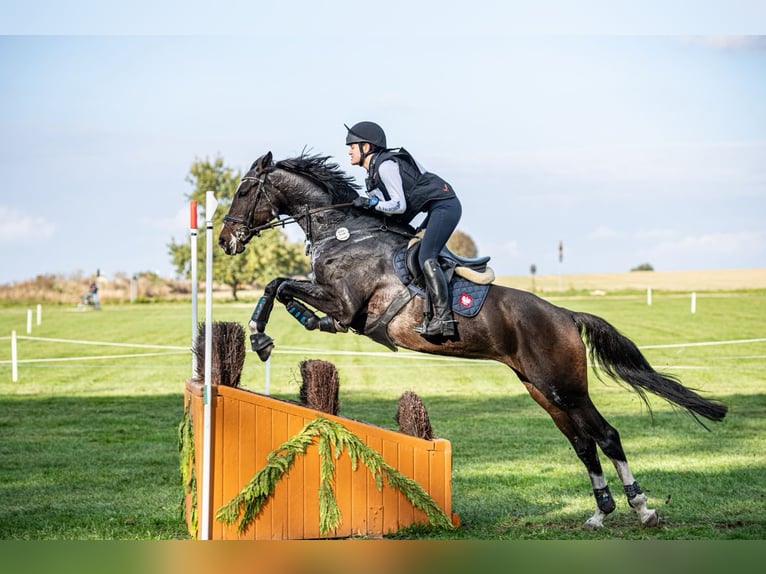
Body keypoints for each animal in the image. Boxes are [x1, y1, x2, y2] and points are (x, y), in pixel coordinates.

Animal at [218, 151, 727, 530]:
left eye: (244, 190)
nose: (225, 240)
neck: (345, 232)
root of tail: (564, 314)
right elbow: (278, 284)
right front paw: (276, 332)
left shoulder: (345, 305)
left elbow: (279, 285)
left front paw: (264, 337)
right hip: (540, 388)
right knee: (582, 442)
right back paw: (601, 513)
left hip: (564, 384)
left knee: (605, 435)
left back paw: (642, 509)